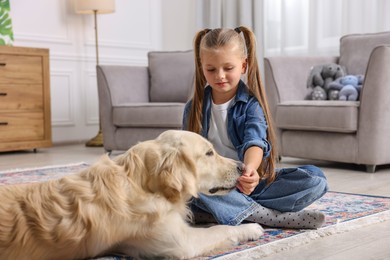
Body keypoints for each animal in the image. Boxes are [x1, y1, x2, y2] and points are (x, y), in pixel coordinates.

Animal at [0, 131, 264, 258]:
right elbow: (221, 229)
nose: (242, 167)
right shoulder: (180, 242)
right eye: (209, 153)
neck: (142, 183)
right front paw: (251, 228)